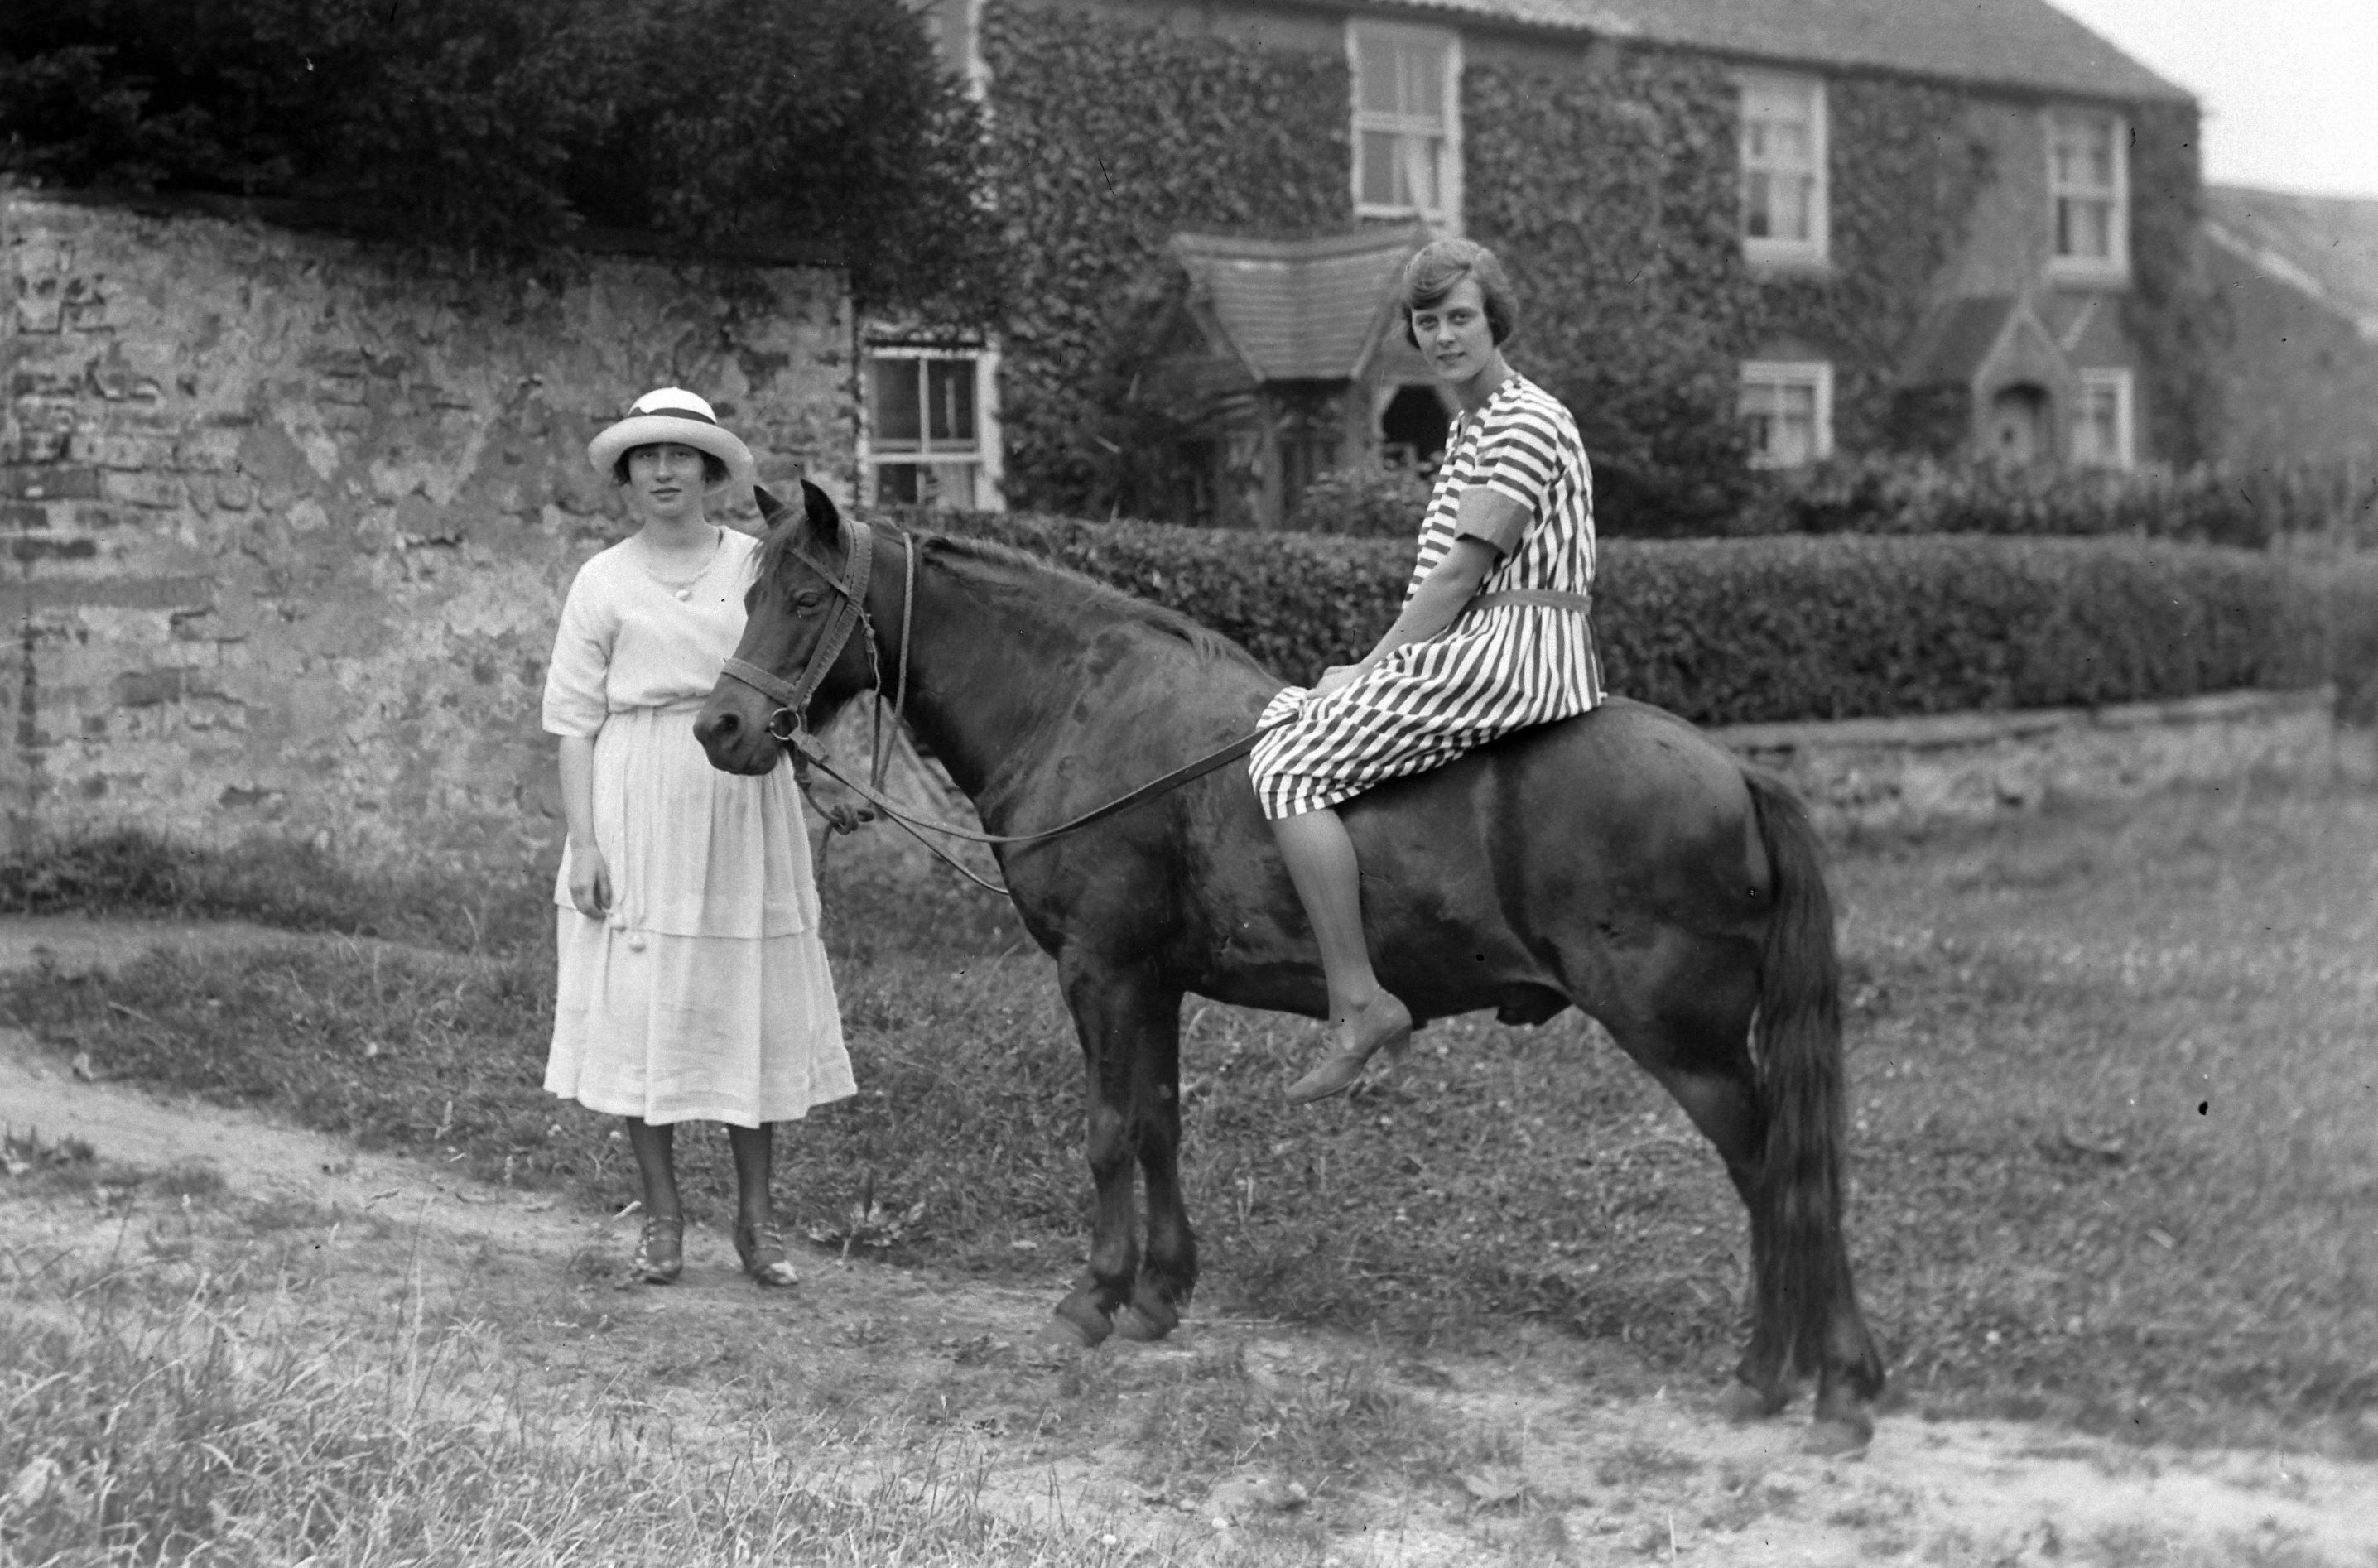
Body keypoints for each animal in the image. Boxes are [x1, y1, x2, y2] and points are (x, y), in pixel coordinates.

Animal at [694, 481, 1887, 1451]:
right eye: (749, 593)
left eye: (802, 600)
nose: (722, 724)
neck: (1083, 706)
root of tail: (1736, 771)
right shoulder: (1153, 983)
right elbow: (1159, 1122)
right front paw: (1159, 1291)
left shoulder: (1101, 971)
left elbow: (1108, 1131)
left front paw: (1094, 1294)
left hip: (1685, 1040)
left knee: (1779, 1171)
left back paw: (1800, 1378)